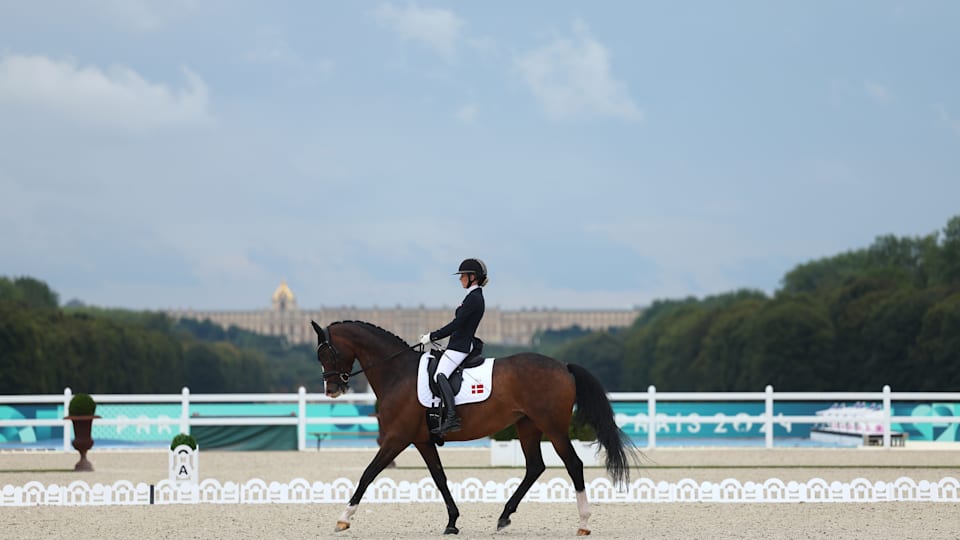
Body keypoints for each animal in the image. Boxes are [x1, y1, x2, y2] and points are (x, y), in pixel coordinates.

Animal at [314, 320, 636, 536]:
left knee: (573, 464)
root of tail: (563, 365)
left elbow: (368, 473)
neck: (398, 373)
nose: (332, 390)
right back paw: (504, 516)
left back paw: (583, 522)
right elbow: (440, 478)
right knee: (535, 467)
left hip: (552, 427)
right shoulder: (422, 440)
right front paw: (452, 522)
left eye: (327, 353)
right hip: (528, 426)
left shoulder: (397, 437)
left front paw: (344, 518)